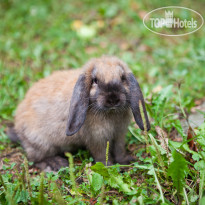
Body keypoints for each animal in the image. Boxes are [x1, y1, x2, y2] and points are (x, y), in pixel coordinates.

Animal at [7, 56, 150, 171]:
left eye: (123, 78)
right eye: (95, 80)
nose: (113, 99)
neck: (110, 113)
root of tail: (19, 129)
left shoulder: (119, 134)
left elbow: (119, 150)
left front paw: (126, 161)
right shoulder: (96, 138)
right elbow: (102, 154)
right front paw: (108, 168)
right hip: (41, 143)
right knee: (35, 159)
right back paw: (56, 164)